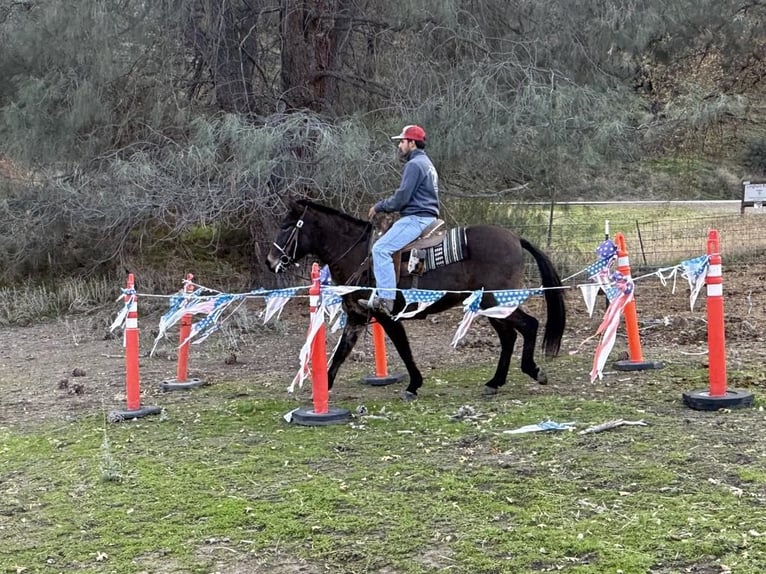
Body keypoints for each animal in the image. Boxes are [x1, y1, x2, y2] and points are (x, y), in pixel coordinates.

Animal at [266, 199, 566, 399]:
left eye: (287, 226)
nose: (271, 262)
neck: (360, 256)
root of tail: (515, 238)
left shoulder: (387, 316)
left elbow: (403, 348)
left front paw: (413, 385)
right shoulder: (356, 317)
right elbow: (340, 353)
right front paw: (322, 390)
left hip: (497, 301)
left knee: (529, 326)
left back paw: (533, 371)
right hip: (489, 305)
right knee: (509, 337)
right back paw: (495, 382)